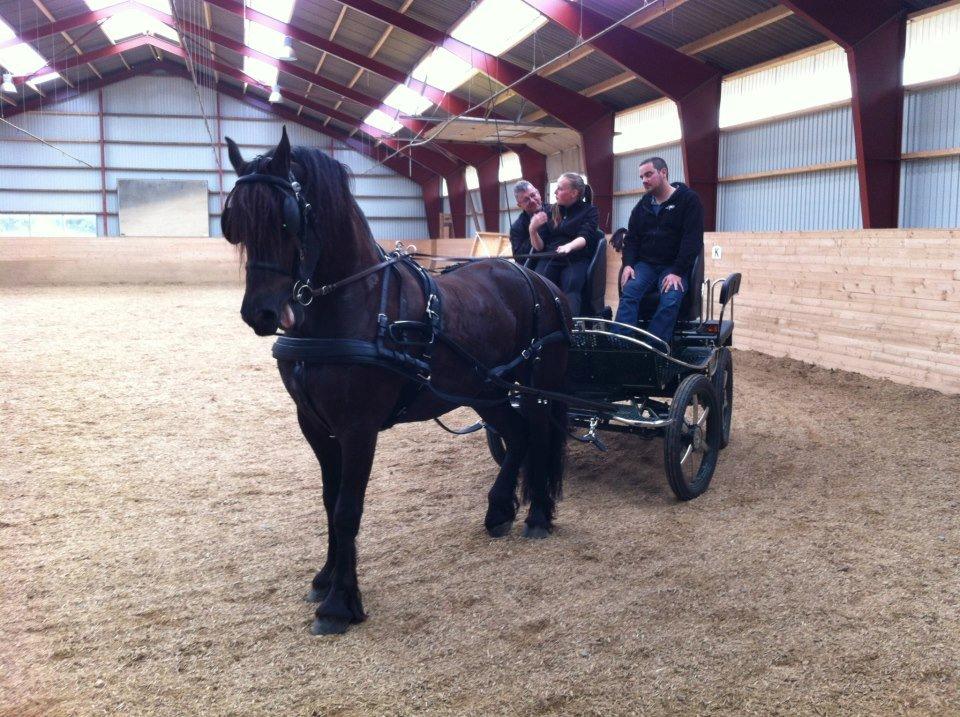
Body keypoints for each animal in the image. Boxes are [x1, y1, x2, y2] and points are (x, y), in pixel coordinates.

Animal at [223, 127, 568, 632]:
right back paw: (500, 510)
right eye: (236, 224)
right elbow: (329, 501)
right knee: (518, 437)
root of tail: (535, 278)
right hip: (485, 390)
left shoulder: (358, 428)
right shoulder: (314, 424)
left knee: (539, 438)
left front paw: (339, 604)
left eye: (286, 220)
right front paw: (326, 578)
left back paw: (538, 516)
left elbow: (347, 509)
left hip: (534, 388)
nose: (261, 314)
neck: (354, 305)